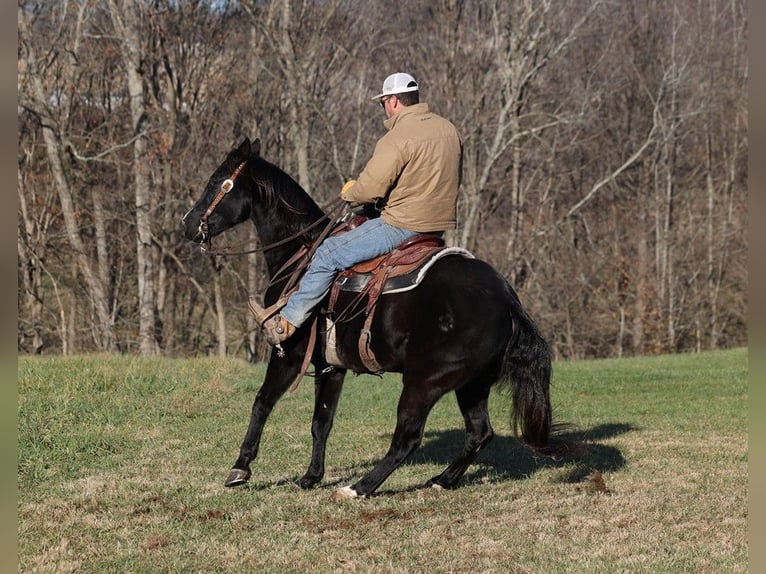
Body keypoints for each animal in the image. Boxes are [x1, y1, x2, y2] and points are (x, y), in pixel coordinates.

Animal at [183, 140, 556, 500]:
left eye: (217, 182)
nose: (187, 224)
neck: (301, 254)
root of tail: (508, 301)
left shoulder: (288, 354)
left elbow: (261, 403)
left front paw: (240, 469)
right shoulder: (330, 367)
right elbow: (321, 421)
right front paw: (310, 477)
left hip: (425, 382)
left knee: (408, 438)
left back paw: (358, 488)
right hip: (473, 384)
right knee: (479, 433)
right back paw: (441, 480)